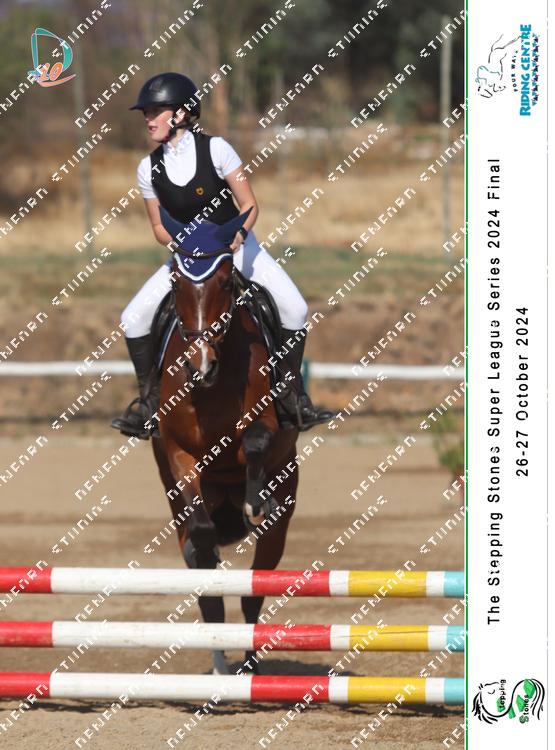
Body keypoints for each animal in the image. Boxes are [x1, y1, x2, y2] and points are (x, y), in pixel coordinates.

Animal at [150, 207, 299, 674]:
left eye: (226, 283)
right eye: (176, 284)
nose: (201, 367)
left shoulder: (268, 424)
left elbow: (253, 443)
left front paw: (255, 502)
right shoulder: (178, 453)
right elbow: (200, 532)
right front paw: (207, 542)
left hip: (281, 520)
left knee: (255, 592)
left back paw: (250, 665)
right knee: (209, 592)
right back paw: (220, 664)